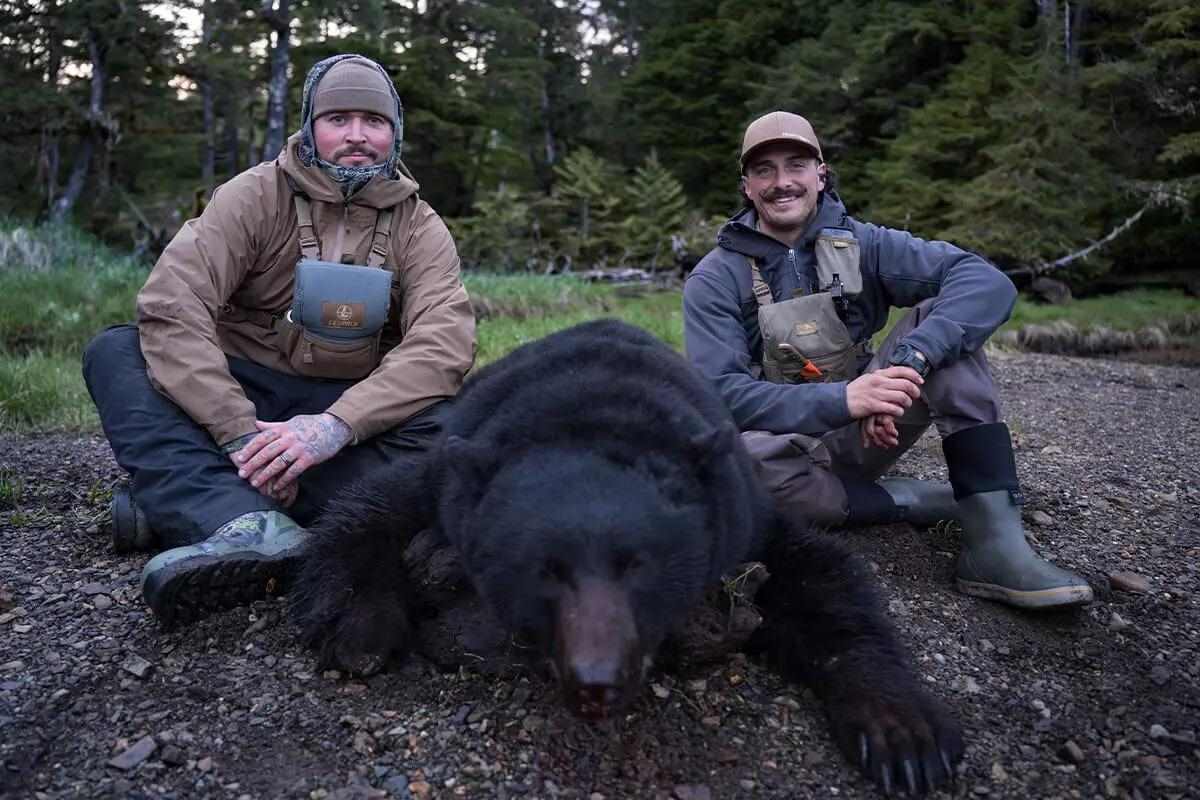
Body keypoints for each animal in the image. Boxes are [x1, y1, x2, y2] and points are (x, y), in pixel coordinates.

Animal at [290, 319, 963, 795]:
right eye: (546, 570)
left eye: (640, 564)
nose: (598, 681)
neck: (593, 413)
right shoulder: (453, 467)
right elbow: (368, 510)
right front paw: (361, 629)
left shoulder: (742, 509)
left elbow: (824, 582)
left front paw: (901, 733)